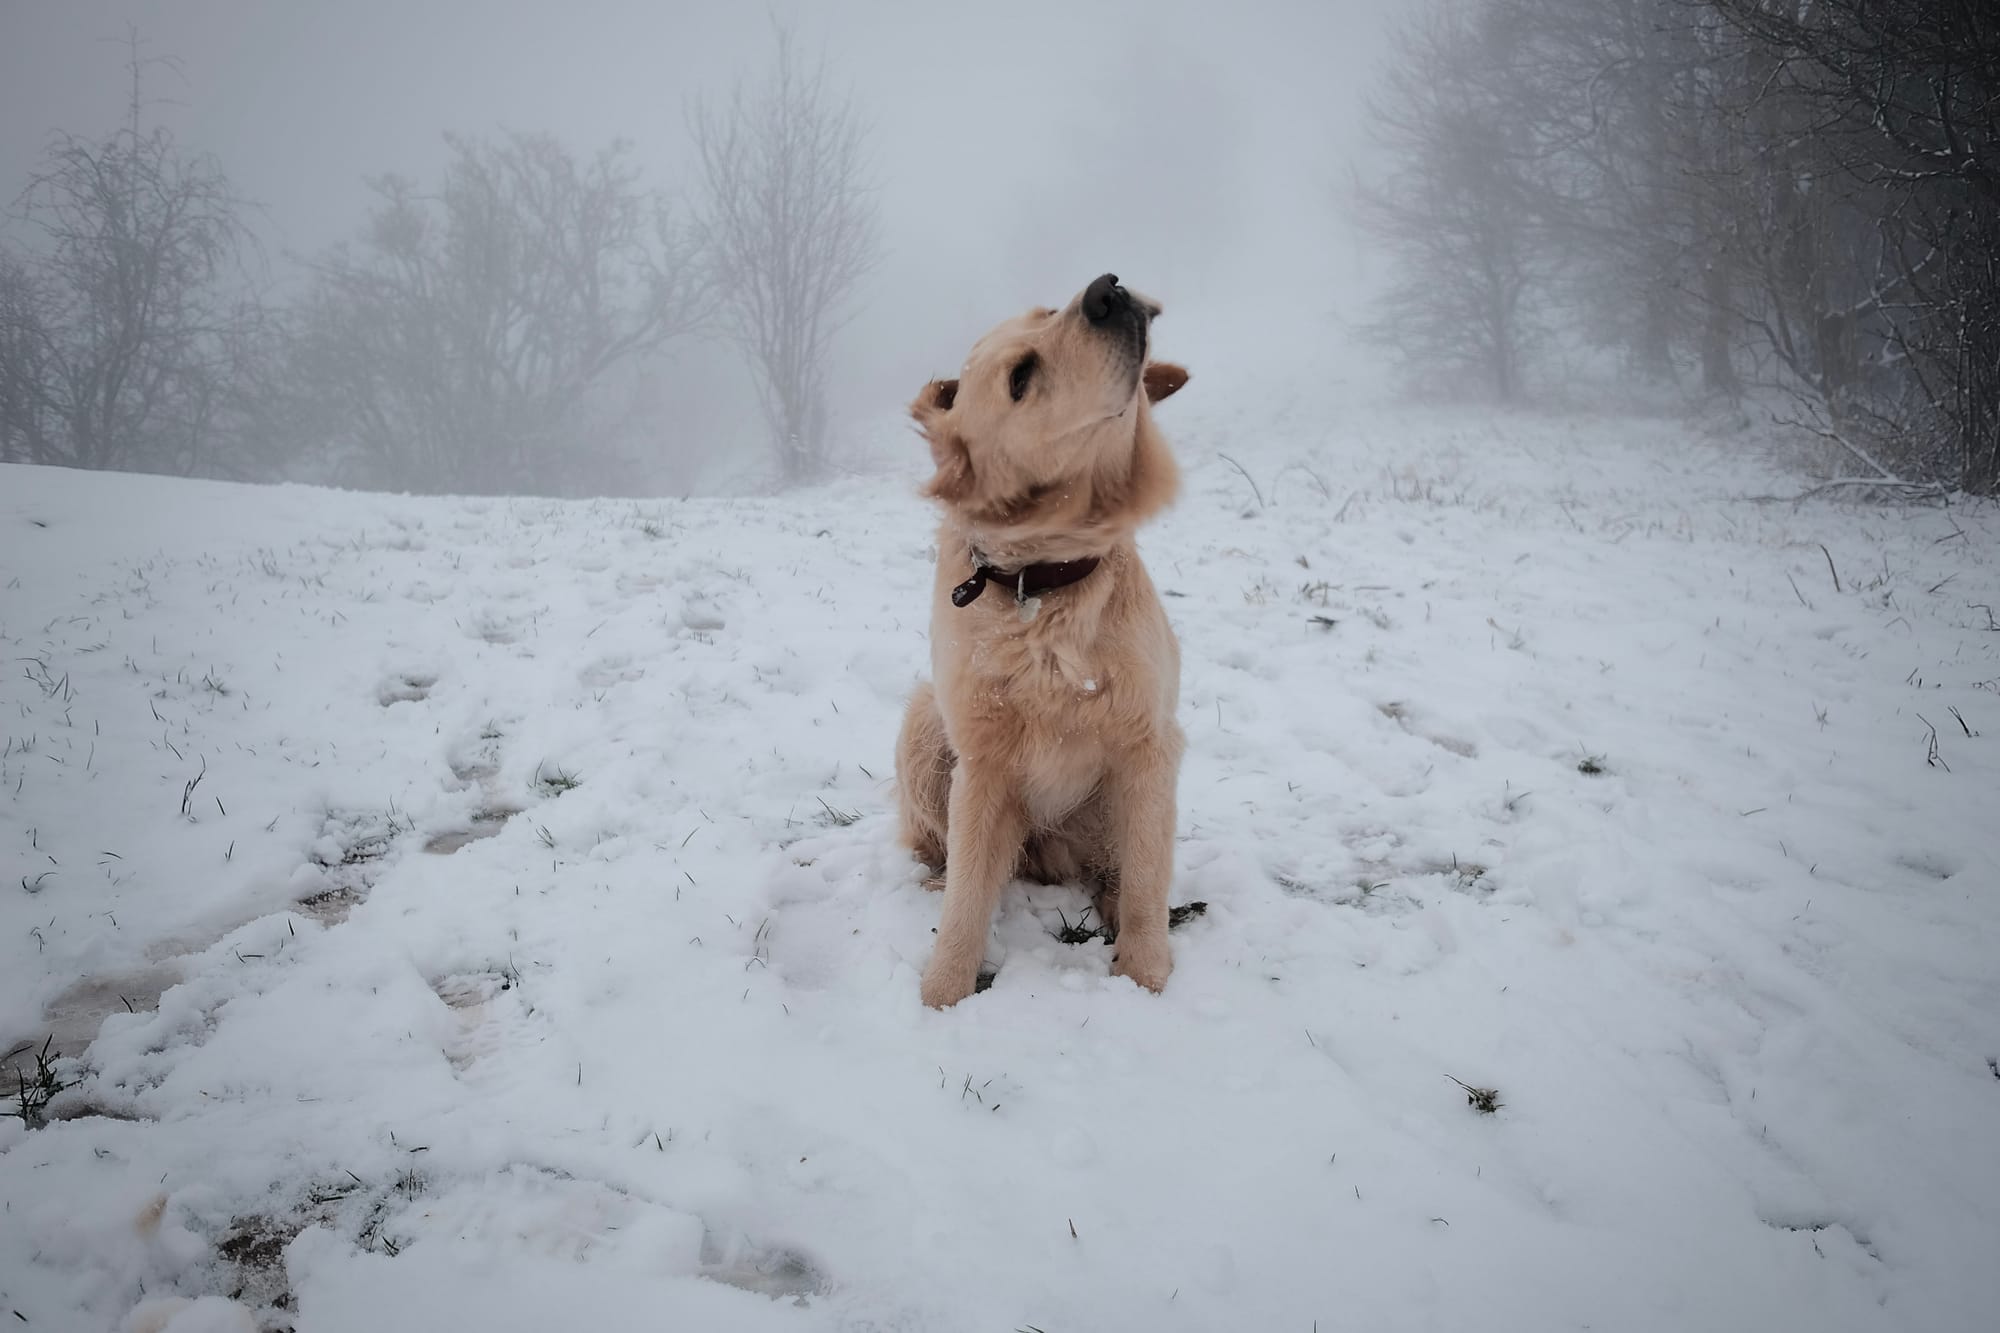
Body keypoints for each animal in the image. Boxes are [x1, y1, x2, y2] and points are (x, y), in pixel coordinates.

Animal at [892, 272, 1184, 1008]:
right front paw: (942, 996)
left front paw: (1144, 979)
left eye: (1049, 310)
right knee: (943, 852)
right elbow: (967, 895)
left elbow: (1146, 878)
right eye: (1020, 376)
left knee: (1118, 871)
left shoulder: (1150, 743)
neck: (1041, 583)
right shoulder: (983, 761)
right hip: (923, 721)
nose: (1107, 288)